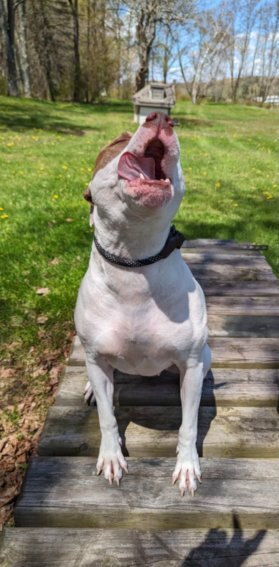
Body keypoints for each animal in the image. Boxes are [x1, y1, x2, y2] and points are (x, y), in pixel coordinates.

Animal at [75, 112, 211, 496]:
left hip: (204, 357)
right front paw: (110, 457)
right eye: (119, 144)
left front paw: (187, 466)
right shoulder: (98, 358)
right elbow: (107, 418)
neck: (135, 264)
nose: (161, 117)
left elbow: (189, 424)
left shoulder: (191, 364)